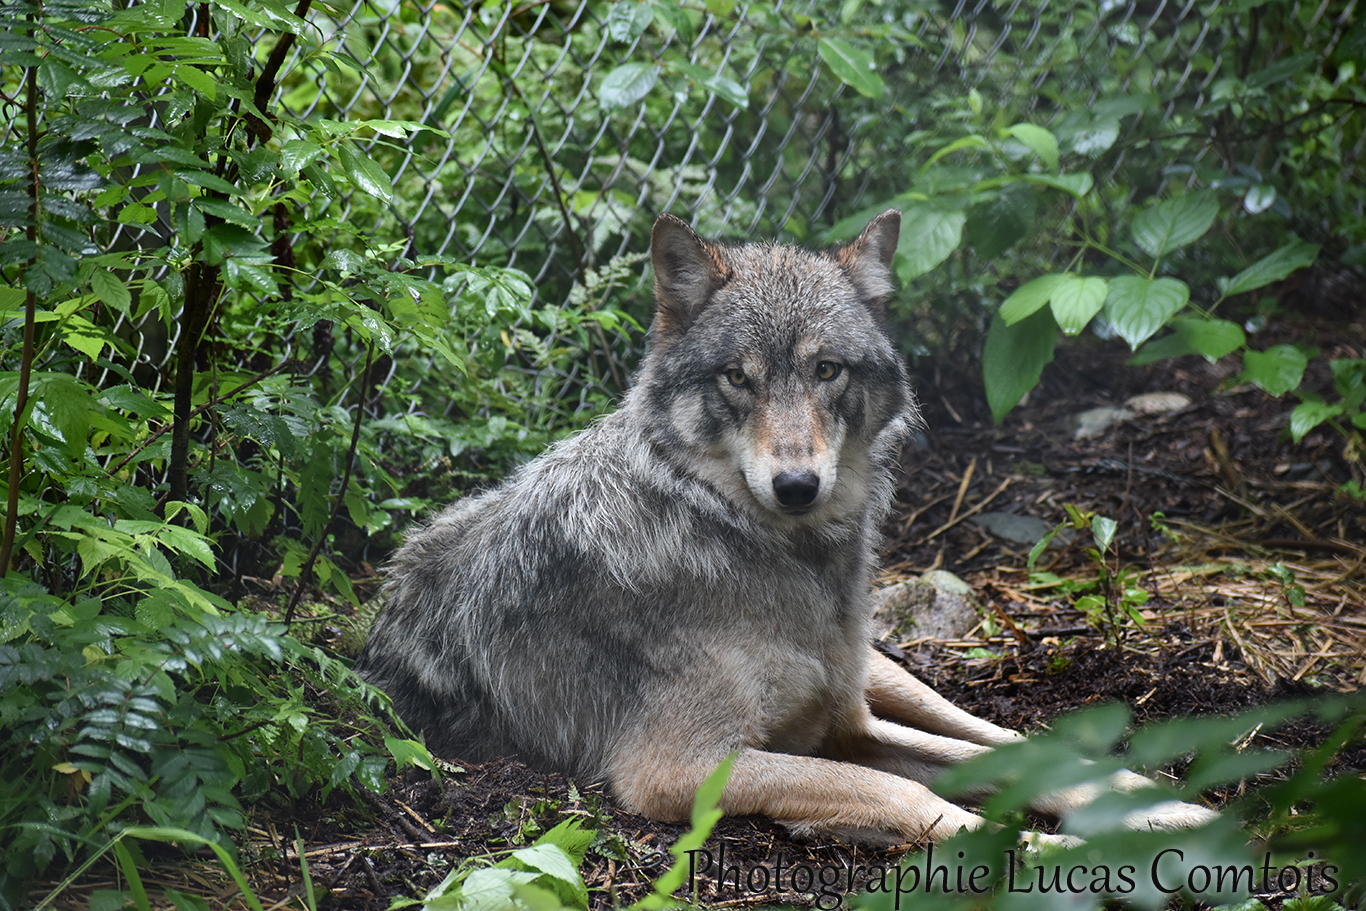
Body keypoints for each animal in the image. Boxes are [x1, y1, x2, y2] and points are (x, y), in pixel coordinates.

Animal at [355, 211, 1216, 844]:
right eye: (739, 377)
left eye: (826, 369)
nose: (797, 485)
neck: (773, 552)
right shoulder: (682, 768)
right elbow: (905, 792)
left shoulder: (841, 723)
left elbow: (990, 763)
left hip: (876, 673)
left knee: (999, 732)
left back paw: (1163, 792)